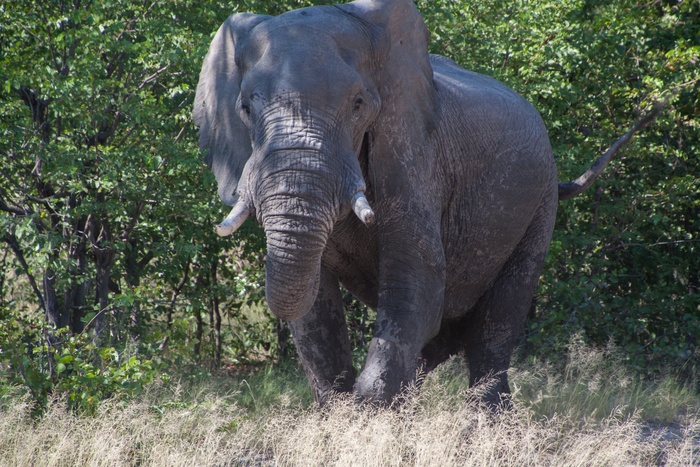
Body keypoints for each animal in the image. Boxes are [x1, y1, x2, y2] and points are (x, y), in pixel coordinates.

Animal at [193, 0, 660, 410]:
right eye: (245, 108)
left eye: (359, 105)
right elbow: (316, 311)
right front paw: (341, 417)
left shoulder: (414, 154)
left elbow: (416, 282)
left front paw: (366, 419)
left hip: (540, 203)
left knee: (494, 328)